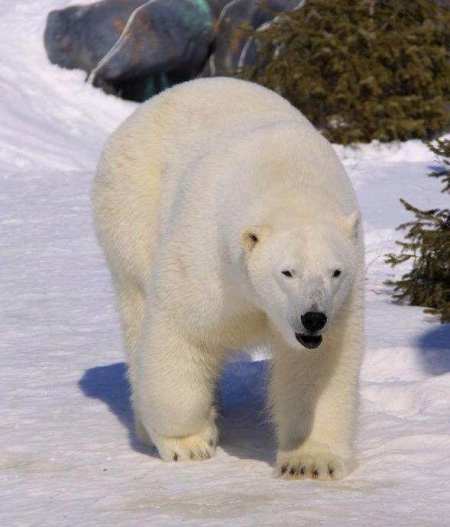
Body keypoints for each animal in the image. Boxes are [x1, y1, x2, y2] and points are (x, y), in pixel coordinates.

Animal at [91, 76, 362, 480]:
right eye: (287, 271)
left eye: (335, 271)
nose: (313, 317)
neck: (286, 178)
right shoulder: (206, 260)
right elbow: (180, 330)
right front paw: (190, 442)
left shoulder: (342, 304)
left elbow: (318, 366)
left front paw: (310, 461)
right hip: (132, 212)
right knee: (138, 314)